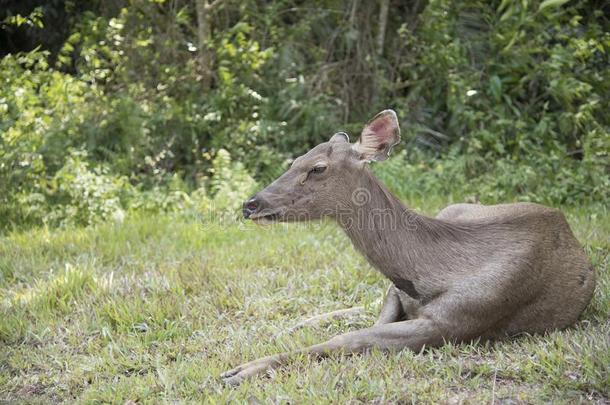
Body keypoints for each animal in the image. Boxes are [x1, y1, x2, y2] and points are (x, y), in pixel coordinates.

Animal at [220, 109, 592, 384]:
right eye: (296, 159)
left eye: (318, 168)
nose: (251, 204)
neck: (430, 273)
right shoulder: (398, 293)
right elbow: (370, 319)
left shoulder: (458, 318)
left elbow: (352, 337)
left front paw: (242, 370)